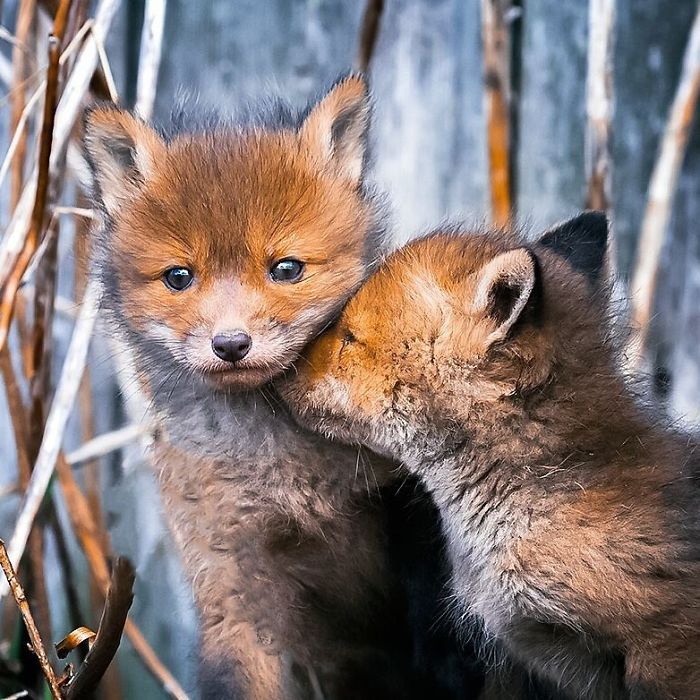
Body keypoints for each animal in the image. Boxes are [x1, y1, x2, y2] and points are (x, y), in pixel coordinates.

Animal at [82, 76, 476, 699]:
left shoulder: (408, 509)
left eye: (286, 268)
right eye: (179, 277)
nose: (231, 344)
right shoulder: (232, 579)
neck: (286, 472)